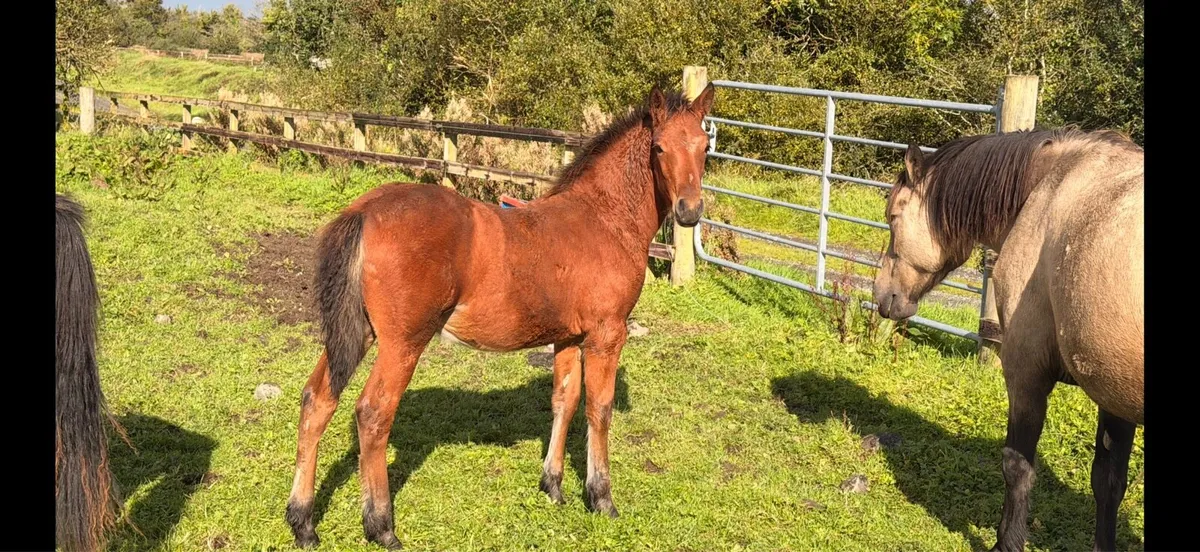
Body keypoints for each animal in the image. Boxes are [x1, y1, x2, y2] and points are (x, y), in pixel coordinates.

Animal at [285, 83, 716, 549]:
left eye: (704, 146)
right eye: (659, 147)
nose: (689, 210)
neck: (604, 218)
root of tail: (364, 210)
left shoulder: (567, 336)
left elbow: (564, 400)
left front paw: (553, 486)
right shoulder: (606, 333)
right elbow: (599, 408)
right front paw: (601, 498)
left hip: (357, 332)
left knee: (317, 400)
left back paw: (303, 522)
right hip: (403, 342)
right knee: (373, 413)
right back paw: (381, 526)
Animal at [872, 129, 1143, 551]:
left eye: (893, 217)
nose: (882, 294)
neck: (1051, 188)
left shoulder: (1025, 373)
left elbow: (1017, 467)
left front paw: (1008, 542)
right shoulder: (1113, 393)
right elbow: (1108, 483)